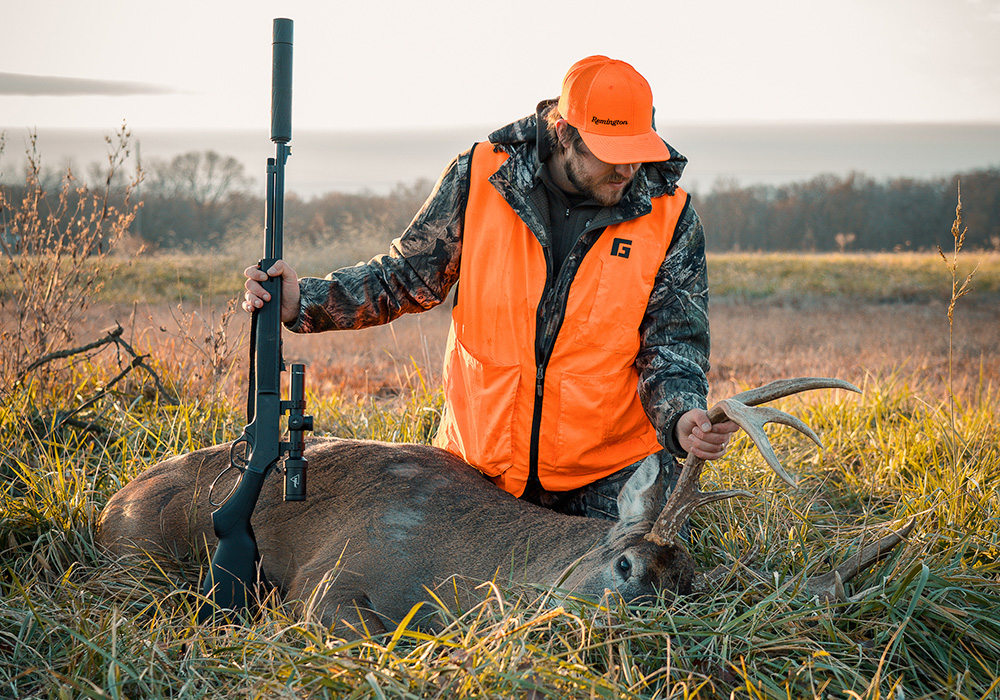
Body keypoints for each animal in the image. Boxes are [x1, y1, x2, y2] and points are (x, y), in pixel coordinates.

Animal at [95, 378, 916, 636]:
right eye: (624, 566)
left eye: (684, 594)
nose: (613, 640)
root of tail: (109, 505)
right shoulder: (333, 579)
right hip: (141, 554)